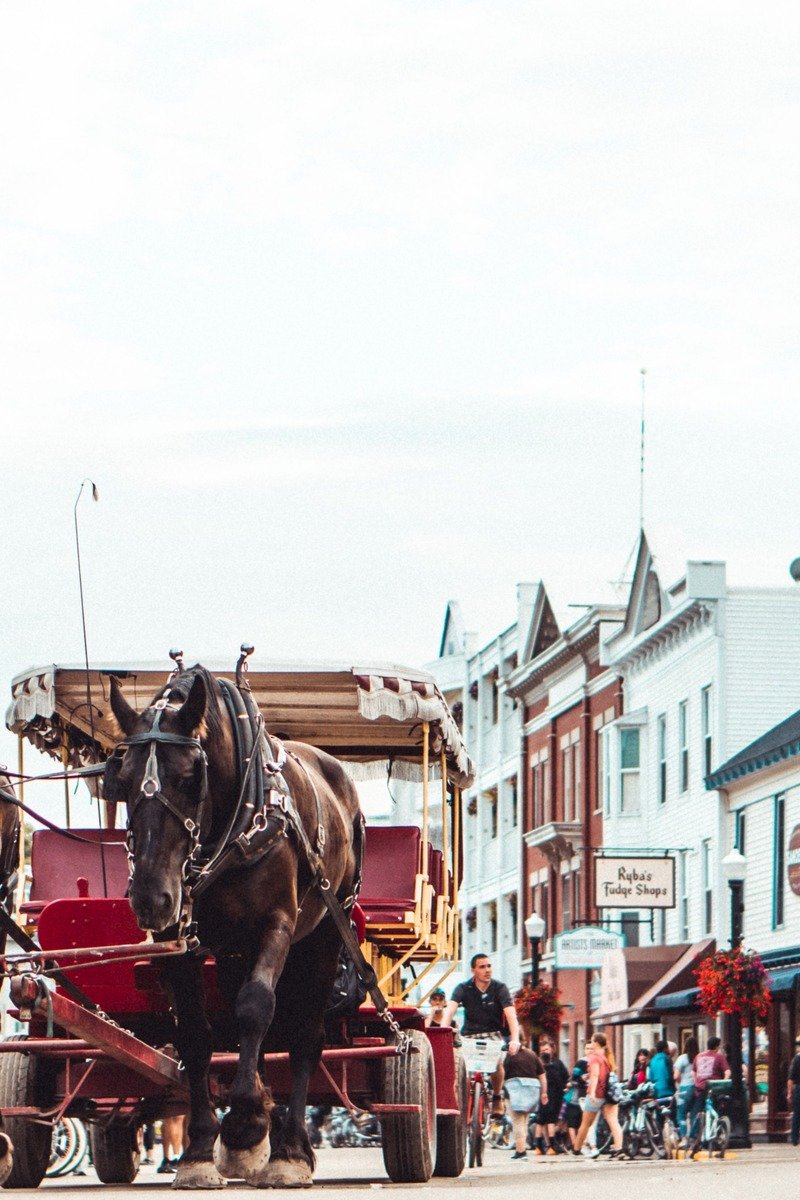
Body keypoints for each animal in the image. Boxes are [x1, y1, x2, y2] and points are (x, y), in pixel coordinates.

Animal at [107, 665, 364, 1189]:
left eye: (190, 777)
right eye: (120, 781)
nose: (151, 898)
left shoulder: (276, 924)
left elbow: (255, 1008)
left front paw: (245, 1120)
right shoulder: (178, 941)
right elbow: (197, 1034)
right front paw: (203, 1149)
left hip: (327, 930)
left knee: (302, 1034)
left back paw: (290, 1149)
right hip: (232, 951)